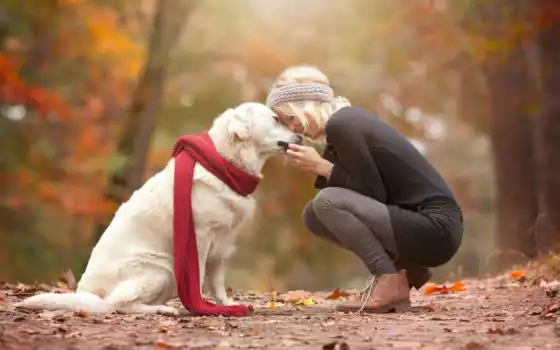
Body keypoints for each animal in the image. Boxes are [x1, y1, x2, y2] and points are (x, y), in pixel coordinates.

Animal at [14, 102, 302, 316]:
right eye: (276, 119)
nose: (300, 135)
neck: (225, 163)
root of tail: (86, 293)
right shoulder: (200, 237)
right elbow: (198, 277)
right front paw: (201, 307)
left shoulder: (221, 244)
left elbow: (218, 282)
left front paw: (226, 305)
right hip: (161, 268)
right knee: (118, 305)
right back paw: (164, 310)